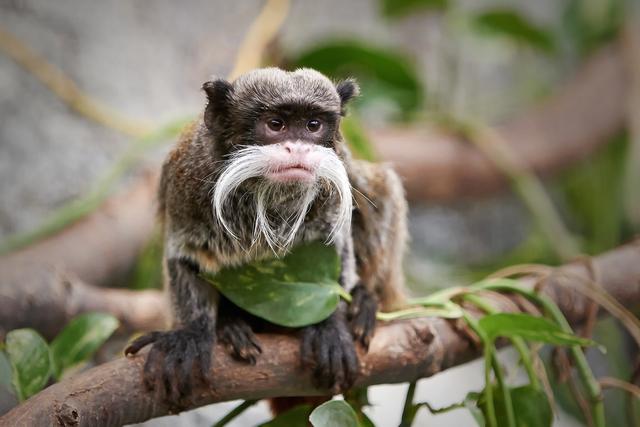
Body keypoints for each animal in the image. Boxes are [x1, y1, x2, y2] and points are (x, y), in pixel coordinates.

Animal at [125, 67, 408, 406]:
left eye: (313, 125)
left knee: (378, 187)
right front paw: (190, 333)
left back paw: (364, 301)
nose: (298, 148)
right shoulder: (186, 185)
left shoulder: (332, 191)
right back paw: (231, 326)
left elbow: (338, 251)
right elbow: (184, 258)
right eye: (276, 124)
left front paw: (328, 325)